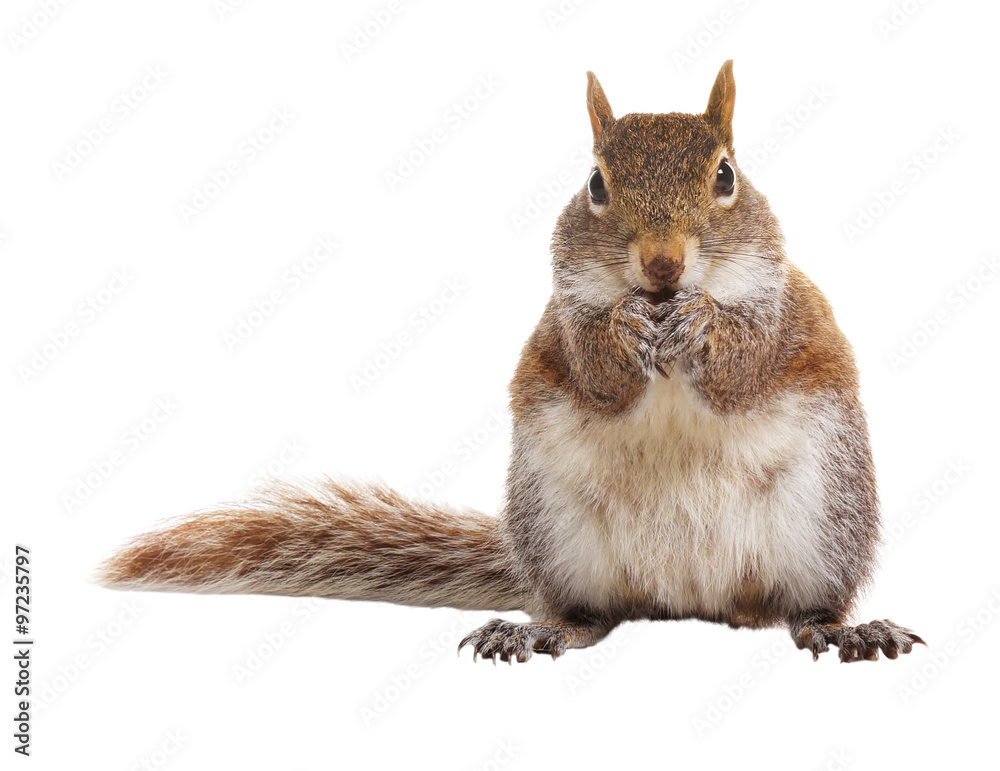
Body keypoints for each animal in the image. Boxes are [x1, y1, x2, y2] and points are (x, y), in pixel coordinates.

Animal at [97, 61, 924, 664]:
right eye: (595, 183)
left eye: (726, 177)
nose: (662, 265)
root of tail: (685, 599)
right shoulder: (560, 324)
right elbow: (594, 366)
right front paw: (624, 329)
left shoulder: (784, 315)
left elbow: (746, 362)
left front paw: (703, 326)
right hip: (559, 531)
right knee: (592, 619)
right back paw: (538, 628)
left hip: (822, 524)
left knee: (801, 609)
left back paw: (845, 628)